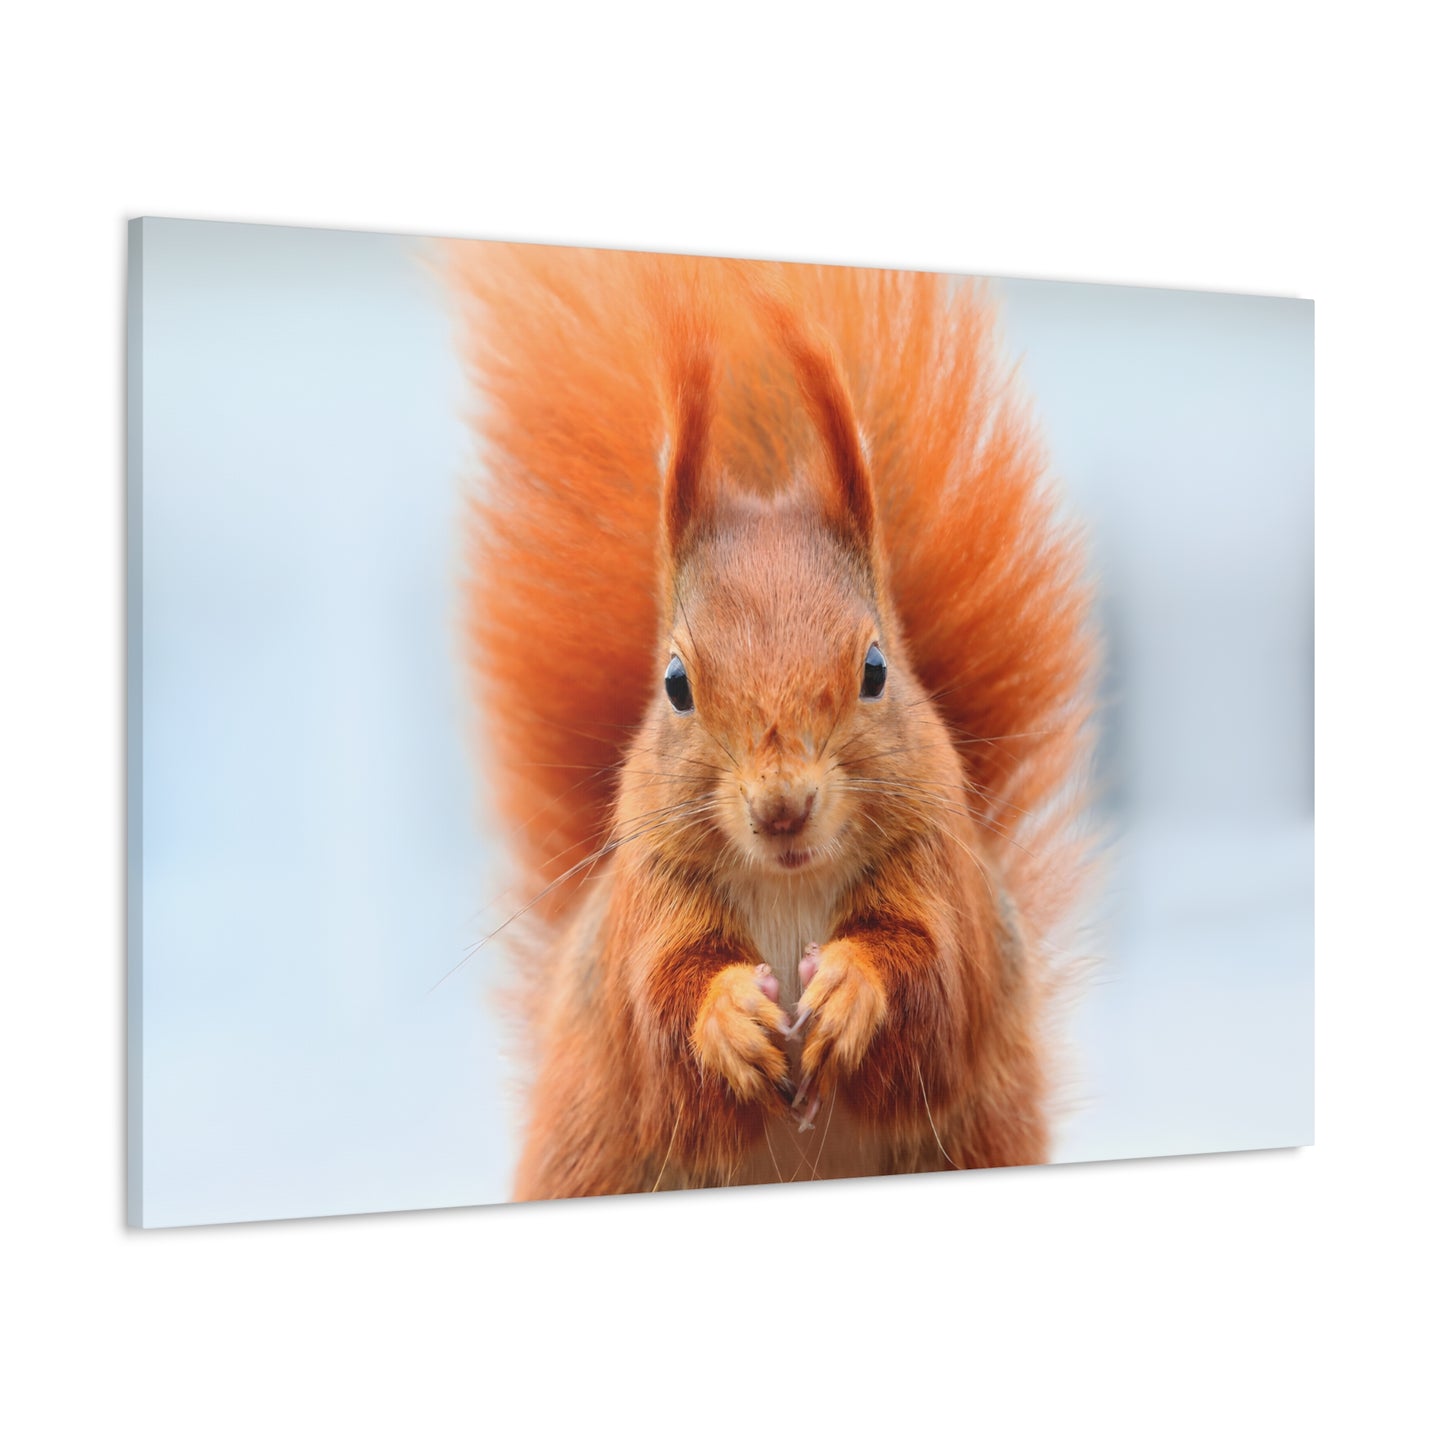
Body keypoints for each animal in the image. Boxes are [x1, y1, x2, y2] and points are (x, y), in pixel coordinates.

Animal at [442, 243, 1096, 1199]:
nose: (782, 808)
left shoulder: (945, 881)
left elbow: (932, 980)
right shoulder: (649, 901)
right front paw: (725, 1017)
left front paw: (853, 988)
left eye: (874, 669)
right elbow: (661, 1005)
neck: (789, 882)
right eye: (675, 683)